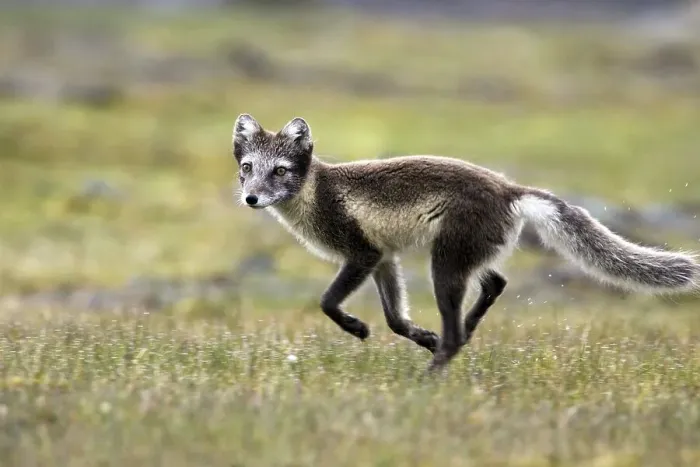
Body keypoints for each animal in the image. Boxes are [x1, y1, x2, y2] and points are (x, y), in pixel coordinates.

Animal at [230, 113, 700, 373]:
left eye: (280, 170)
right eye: (248, 168)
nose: (250, 199)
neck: (316, 194)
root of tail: (510, 189)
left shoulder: (362, 254)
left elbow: (328, 302)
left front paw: (356, 327)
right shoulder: (384, 257)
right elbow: (395, 320)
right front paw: (420, 335)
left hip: (445, 265)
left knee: (459, 327)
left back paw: (428, 379)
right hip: (467, 255)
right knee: (494, 284)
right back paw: (455, 338)